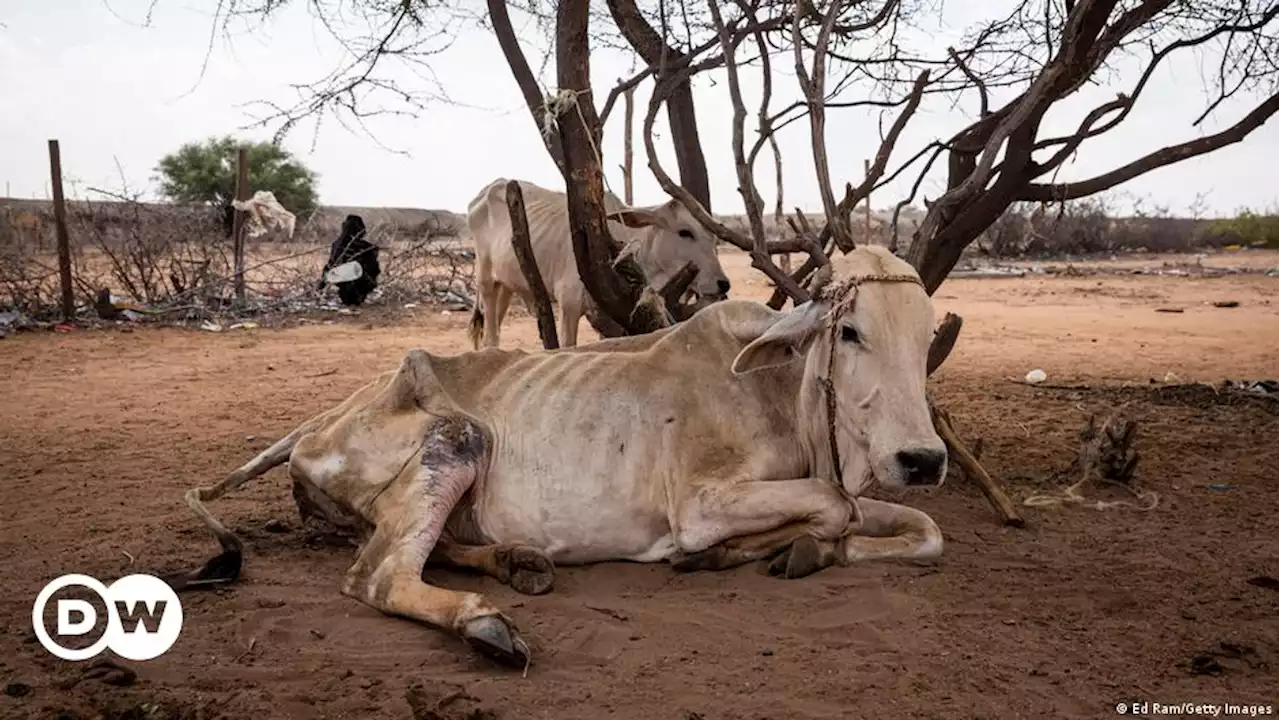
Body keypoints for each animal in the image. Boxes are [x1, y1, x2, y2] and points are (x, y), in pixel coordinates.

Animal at [468, 178, 732, 348]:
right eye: (685, 232)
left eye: (713, 235)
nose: (723, 284)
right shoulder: (570, 303)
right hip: (486, 280)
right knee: (490, 336)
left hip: (506, 286)